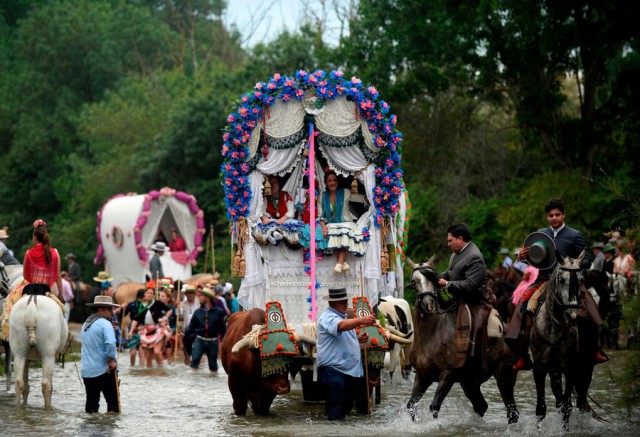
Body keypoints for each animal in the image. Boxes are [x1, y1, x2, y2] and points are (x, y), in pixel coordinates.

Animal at [408, 255, 516, 422]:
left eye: (433, 279)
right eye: (414, 282)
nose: (428, 305)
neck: (431, 335)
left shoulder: (447, 376)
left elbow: (434, 406)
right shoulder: (422, 375)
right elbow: (412, 406)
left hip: (504, 377)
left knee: (512, 412)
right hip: (470, 382)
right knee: (481, 406)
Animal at [528, 250, 596, 424]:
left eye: (581, 280)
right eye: (562, 279)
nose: (572, 315)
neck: (553, 329)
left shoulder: (570, 367)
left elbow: (567, 408)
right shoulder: (539, 368)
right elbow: (541, 409)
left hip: (586, 366)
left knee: (580, 400)